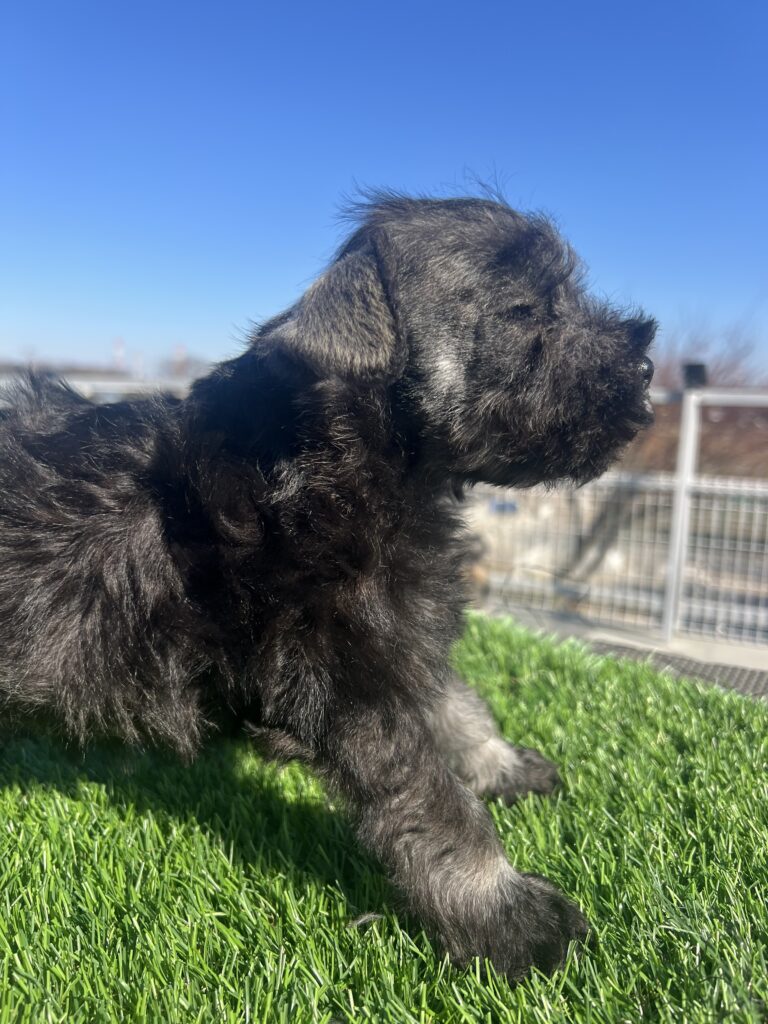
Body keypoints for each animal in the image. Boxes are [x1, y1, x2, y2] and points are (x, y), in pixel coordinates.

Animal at [0, 194, 655, 981]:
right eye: (523, 310)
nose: (647, 366)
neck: (355, 458)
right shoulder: (345, 672)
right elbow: (436, 803)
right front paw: (510, 917)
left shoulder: (392, 627)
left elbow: (454, 701)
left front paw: (500, 766)